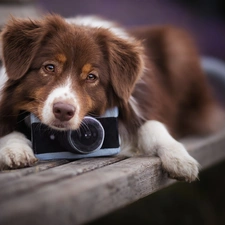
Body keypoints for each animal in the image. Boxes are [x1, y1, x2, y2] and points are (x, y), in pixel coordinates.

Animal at [0, 14, 222, 182]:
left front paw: (179, 159)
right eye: (49, 67)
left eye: (91, 77)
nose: (63, 111)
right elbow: (7, 128)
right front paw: (15, 150)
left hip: (177, 46)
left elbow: (152, 125)